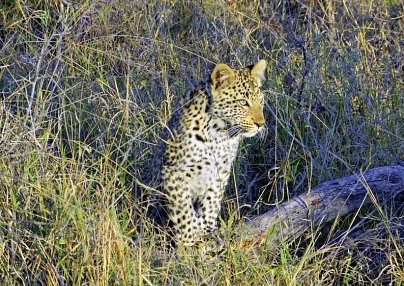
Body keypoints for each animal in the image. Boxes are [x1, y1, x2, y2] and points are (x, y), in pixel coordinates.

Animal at [156, 59, 266, 248]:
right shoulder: (173, 172)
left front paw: (207, 229)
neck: (219, 133)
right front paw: (189, 238)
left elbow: (211, 202)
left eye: (261, 101)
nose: (261, 123)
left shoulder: (220, 170)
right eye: (243, 102)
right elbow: (183, 210)